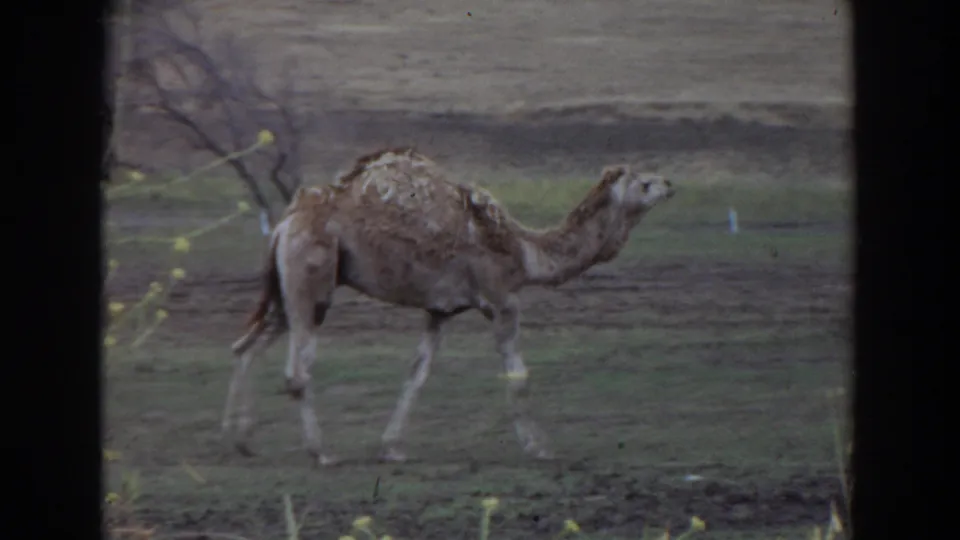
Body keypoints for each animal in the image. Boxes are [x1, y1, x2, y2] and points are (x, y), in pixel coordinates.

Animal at [221, 148, 676, 467]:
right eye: (644, 183)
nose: (671, 182)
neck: (524, 251)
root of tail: (283, 225)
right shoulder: (502, 300)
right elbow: (518, 377)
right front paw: (539, 447)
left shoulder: (439, 310)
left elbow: (417, 375)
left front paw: (392, 448)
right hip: (310, 279)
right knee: (296, 370)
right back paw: (322, 453)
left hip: (287, 287)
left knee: (245, 345)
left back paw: (240, 441)